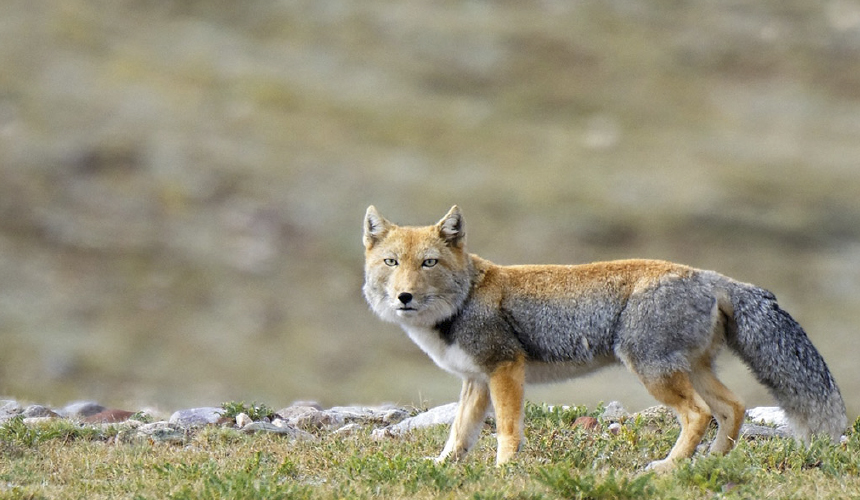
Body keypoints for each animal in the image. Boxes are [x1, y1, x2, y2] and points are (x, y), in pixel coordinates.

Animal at [362, 205, 848, 470]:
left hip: (653, 371)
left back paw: (665, 468)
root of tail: (709, 275)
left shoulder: (504, 369)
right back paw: (706, 463)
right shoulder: (476, 380)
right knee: (733, 408)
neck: (463, 299)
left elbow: (507, 430)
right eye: (391, 262)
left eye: (428, 263)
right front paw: (444, 468)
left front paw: (502, 472)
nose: (404, 296)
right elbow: (459, 435)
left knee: (699, 414)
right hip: (689, 369)